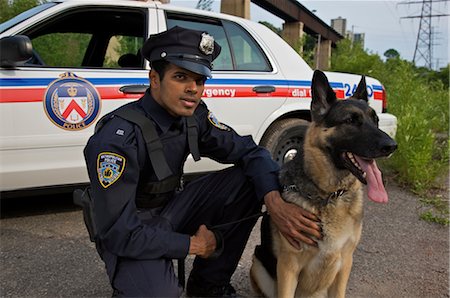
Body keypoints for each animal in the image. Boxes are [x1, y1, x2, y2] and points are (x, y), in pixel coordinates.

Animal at [250, 70, 398, 298]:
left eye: (376, 121)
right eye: (351, 120)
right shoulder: (288, 267)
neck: (329, 195)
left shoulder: (345, 265)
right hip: (258, 261)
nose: (391, 146)